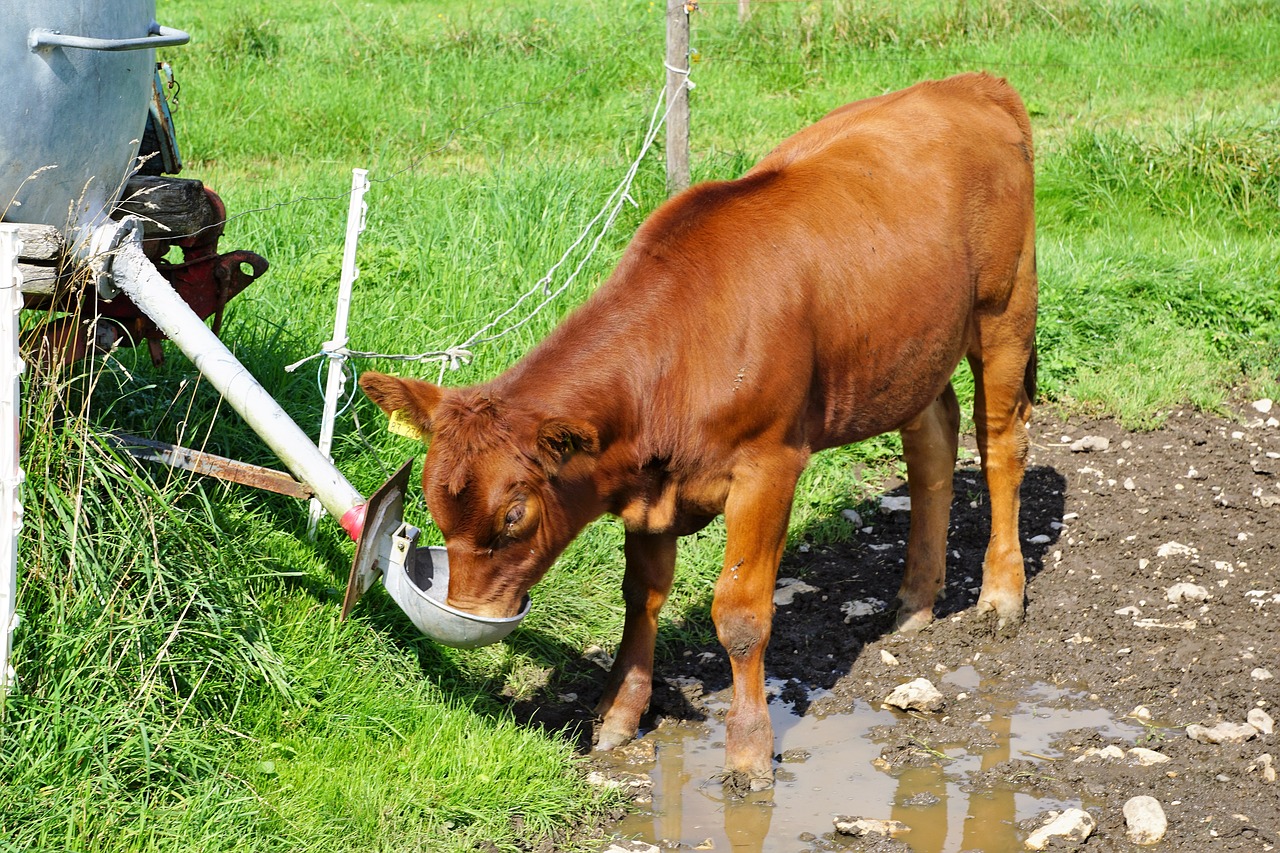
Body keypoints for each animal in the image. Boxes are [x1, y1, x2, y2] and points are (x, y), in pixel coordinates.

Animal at [363, 71, 1039, 783]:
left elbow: (739, 614)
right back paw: (915, 601)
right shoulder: (649, 486)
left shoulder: (769, 466)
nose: (466, 616)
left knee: (1000, 445)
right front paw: (620, 715)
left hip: (1004, 310)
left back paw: (1000, 596)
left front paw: (747, 749)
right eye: (433, 505)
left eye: (515, 515)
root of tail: (971, 83)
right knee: (933, 441)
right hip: (911, 351)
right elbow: (641, 595)